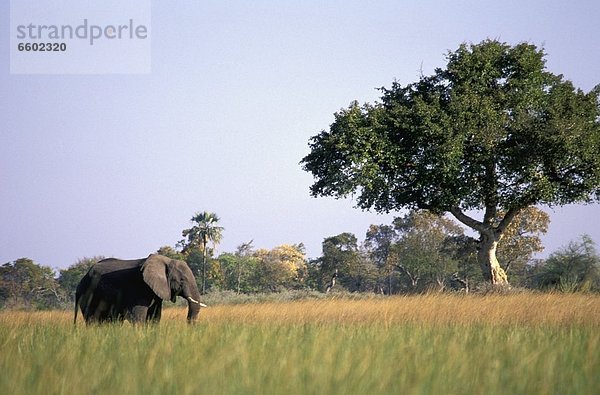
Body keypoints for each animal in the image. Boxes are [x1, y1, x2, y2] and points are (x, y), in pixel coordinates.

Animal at [74, 256, 206, 324]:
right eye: (182, 280)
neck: (166, 261)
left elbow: (154, 317)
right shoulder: (138, 287)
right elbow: (139, 316)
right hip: (88, 294)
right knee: (93, 321)